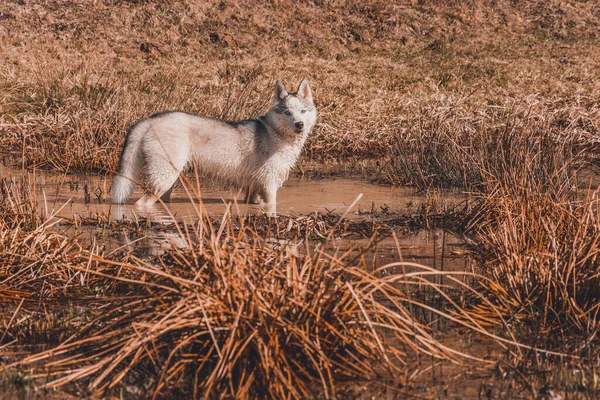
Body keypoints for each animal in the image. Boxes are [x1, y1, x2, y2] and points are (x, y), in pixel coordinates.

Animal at [113, 79, 318, 214]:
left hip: (168, 182)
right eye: (287, 112)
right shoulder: (270, 186)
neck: (276, 133)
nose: (299, 124)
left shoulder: (254, 190)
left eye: (303, 111)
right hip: (164, 179)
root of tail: (149, 119)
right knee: (141, 204)